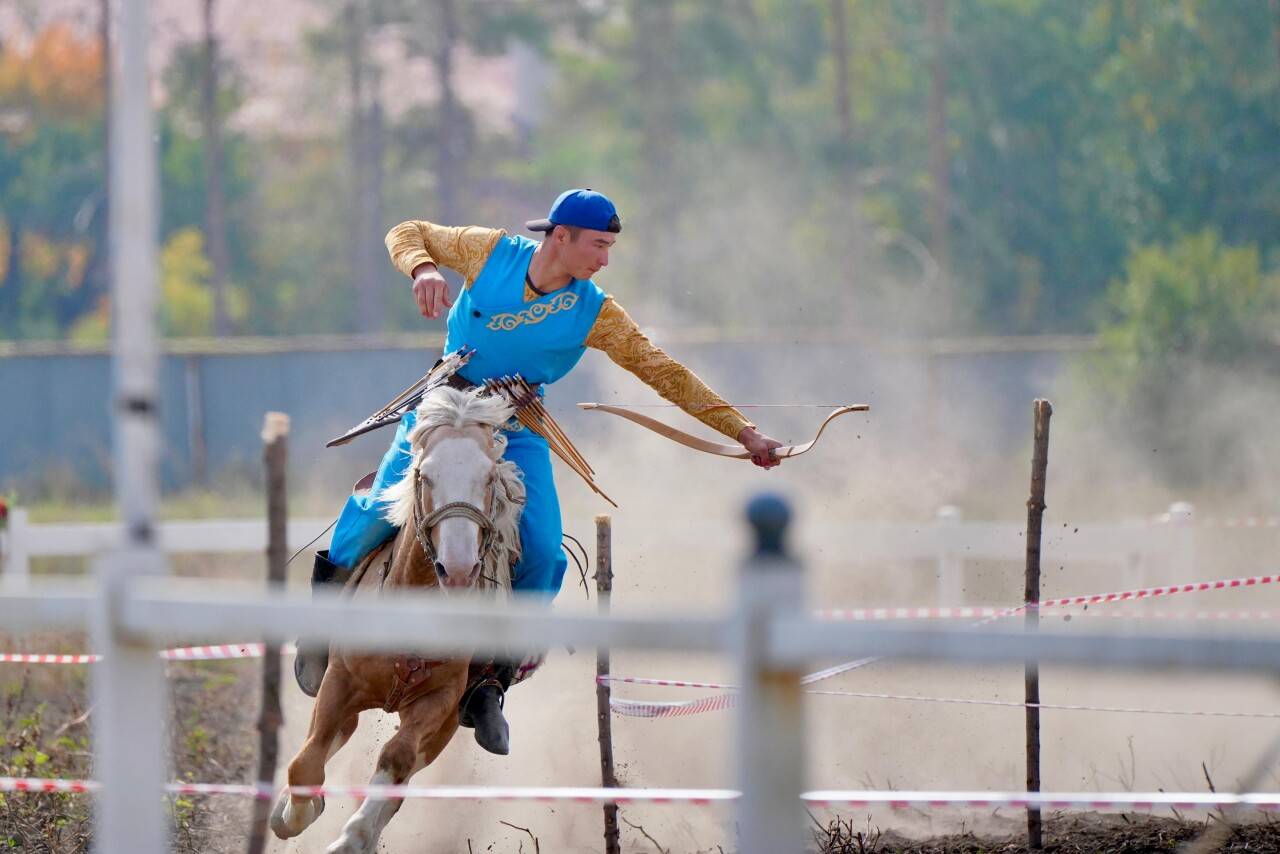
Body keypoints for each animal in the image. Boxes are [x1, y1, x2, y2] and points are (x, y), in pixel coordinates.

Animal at [270, 389, 524, 854]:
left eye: (489, 478)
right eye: (425, 475)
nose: (457, 570)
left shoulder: (439, 702)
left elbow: (397, 759)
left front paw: (353, 838)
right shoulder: (339, 683)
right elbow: (306, 764)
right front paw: (293, 813)